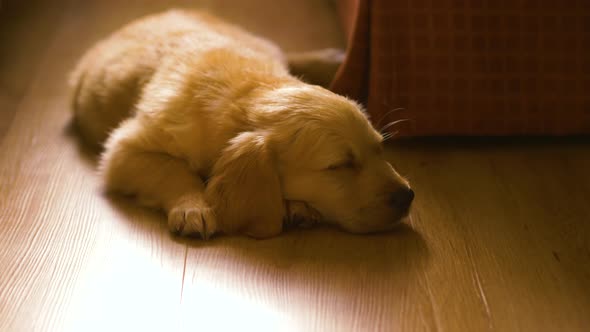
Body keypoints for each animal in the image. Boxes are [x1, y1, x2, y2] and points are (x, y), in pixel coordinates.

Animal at [70, 9, 416, 239]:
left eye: (380, 149)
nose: (408, 196)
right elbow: (172, 169)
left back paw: (331, 59)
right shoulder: (123, 149)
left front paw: (297, 206)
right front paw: (194, 207)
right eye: (340, 166)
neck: (247, 91)